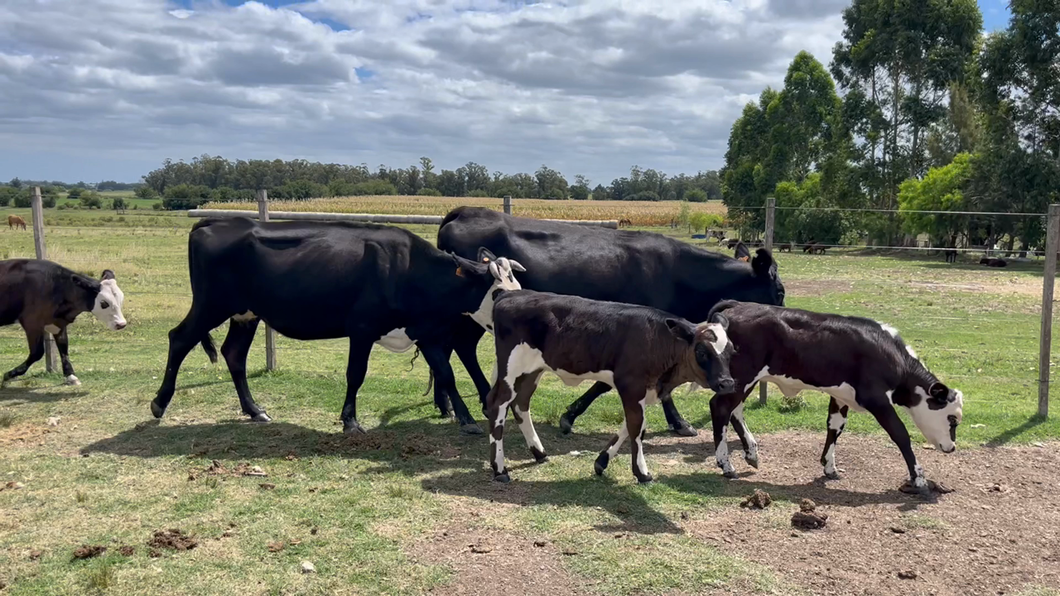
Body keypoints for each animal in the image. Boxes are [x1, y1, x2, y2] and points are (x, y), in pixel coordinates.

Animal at [151, 215, 523, 434]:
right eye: (499, 291)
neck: (408, 270)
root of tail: (218, 221)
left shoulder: (425, 333)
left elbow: (445, 373)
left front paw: (466, 419)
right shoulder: (361, 328)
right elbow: (355, 374)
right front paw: (350, 420)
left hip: (246, 314)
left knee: (234, 354)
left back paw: (255, 410)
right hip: (211, 305)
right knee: (179, 338)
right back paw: (159, 403)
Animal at [432, 206, 788, 434]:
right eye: (780, 291)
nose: (783, 320)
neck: (677, 273)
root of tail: (466, 210)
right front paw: (679, 423)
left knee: (449, 349)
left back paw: (452, 405)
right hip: (467, 314)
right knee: (455, 348)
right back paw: (467, 412)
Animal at [483, 290, 737, 483]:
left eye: (732, 351)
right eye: (702, 351)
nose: (727, 383)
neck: (658, 341)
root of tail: (511, 293)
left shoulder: (641, 392)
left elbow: (630, 425)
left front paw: (601, 462)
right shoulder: (631, 386)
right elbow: (636, 427)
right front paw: (642, 472)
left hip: (532, 371)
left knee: (521, 403)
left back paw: (539, 453)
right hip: (511, 368)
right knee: (498, 404)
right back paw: (500, 469)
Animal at [699, 301, 966, 492]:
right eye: (952, 419)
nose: (952, 448)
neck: (890, 354)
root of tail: (738, 306)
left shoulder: (841, 397)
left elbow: (835, 427)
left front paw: (829, 466)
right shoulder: (876, 399)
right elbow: (900, 435)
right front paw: (919, 479)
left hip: (745, 381)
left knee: (735, 411)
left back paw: (751, 454)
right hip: (742, 377)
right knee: (720, 407)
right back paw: (726, 464)